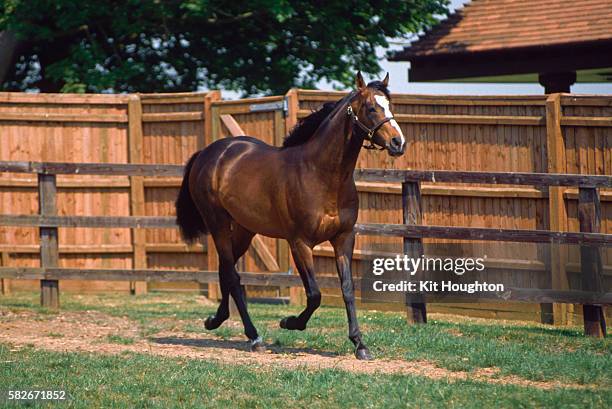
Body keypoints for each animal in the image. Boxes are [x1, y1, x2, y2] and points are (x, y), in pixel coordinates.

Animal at [176, 71, 406, 358]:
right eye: (371, 107)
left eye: (390, 105)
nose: (398, 143)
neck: (320, 174)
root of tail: (208, 153)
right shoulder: (300, 243)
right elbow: (314, 294)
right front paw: (290, 322)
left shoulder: (343, 238)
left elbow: (347, 289)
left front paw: (360, 345)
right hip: (217, 223)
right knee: (232, 275)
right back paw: (254, 336)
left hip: (244, 229)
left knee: (225, 271)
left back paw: (215, 320)